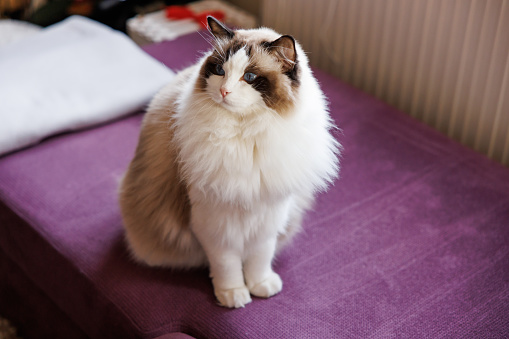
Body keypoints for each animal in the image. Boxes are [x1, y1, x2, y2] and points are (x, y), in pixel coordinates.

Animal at [118, 16, 340, 308]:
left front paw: (260, 286)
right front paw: (233, 294)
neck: (247, 136)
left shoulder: (268, 214)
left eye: (250, 77)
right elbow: (227, 264)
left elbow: (259, 258)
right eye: (219, 70)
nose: (224, 91)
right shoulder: (215, 222)